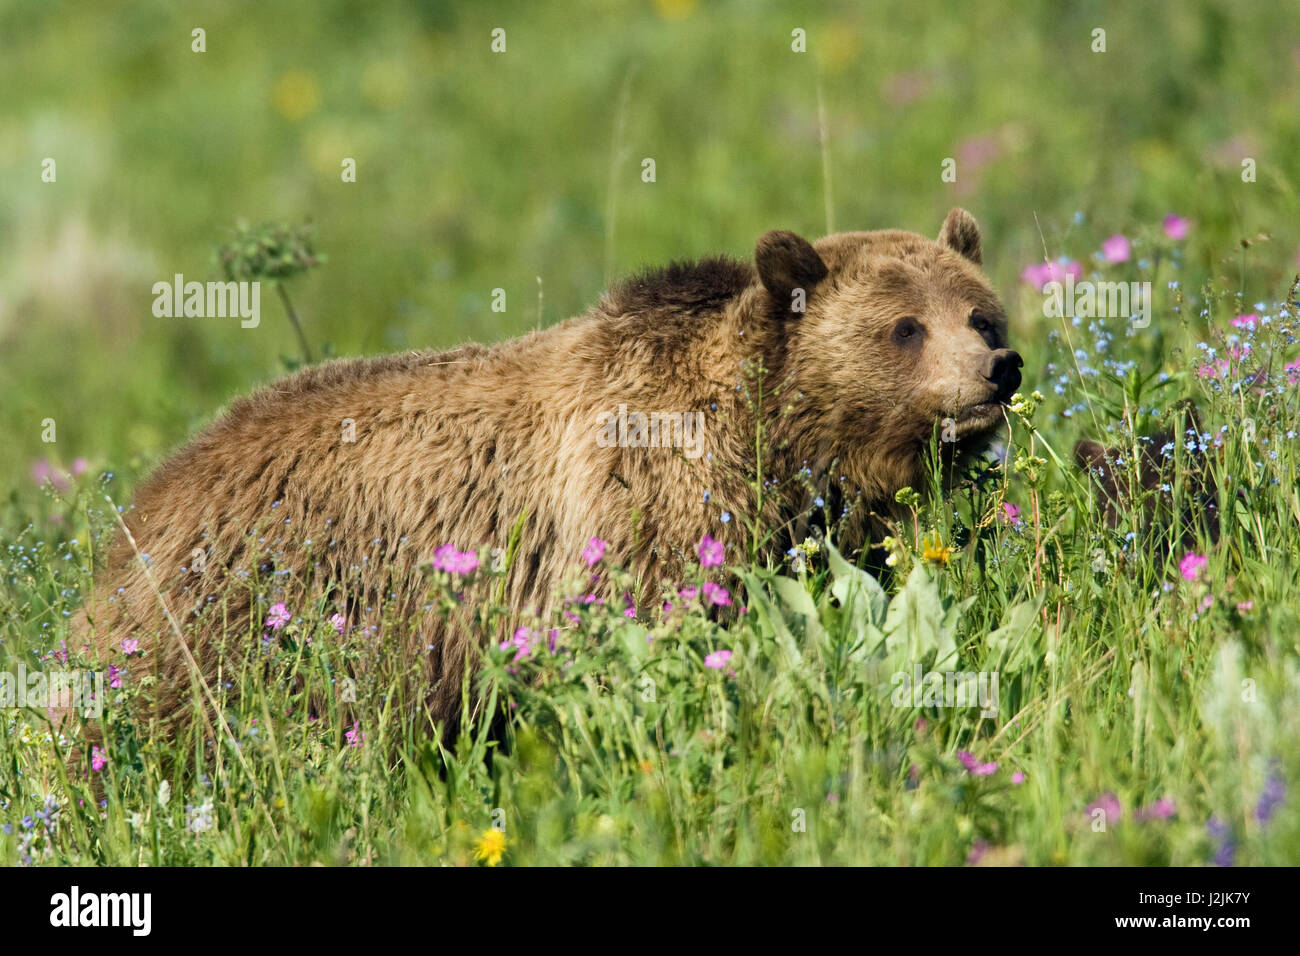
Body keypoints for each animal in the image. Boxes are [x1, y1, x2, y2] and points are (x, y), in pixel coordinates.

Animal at [76, 205, 1019, 738]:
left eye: (980, 312)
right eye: (905, 327)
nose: (998, 369)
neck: (775, 441)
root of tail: (140, 515)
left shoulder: (812, 525)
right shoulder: (641, 506)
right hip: (258, 613)